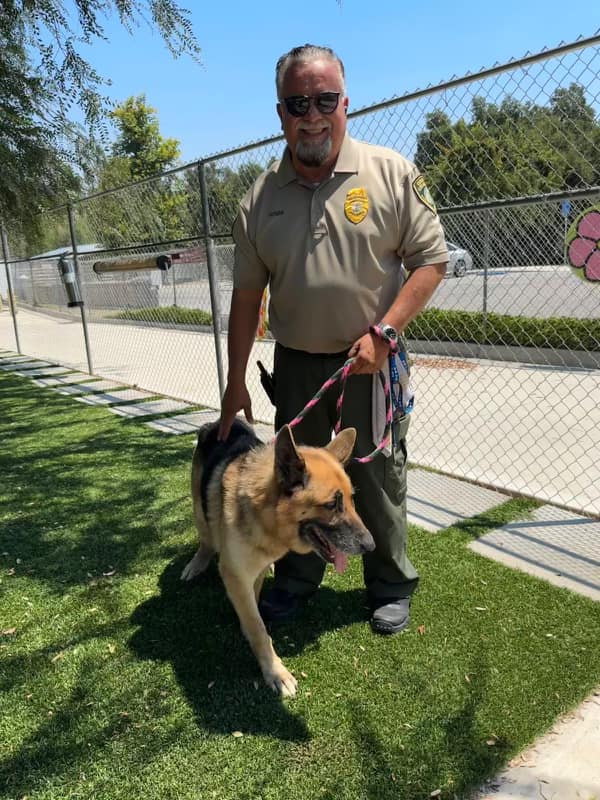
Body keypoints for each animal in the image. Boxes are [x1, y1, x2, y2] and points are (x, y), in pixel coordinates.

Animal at [180, 422, 372, 696]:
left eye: (351, 499)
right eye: (332, 505)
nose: (371, 545)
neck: (265, 516)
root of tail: (218, 424)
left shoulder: (252, 573)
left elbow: (253, 609)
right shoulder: (235, 575)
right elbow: (258, 627)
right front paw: (274, 671)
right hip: (199, 508)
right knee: (206, 539)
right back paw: (197, 563)